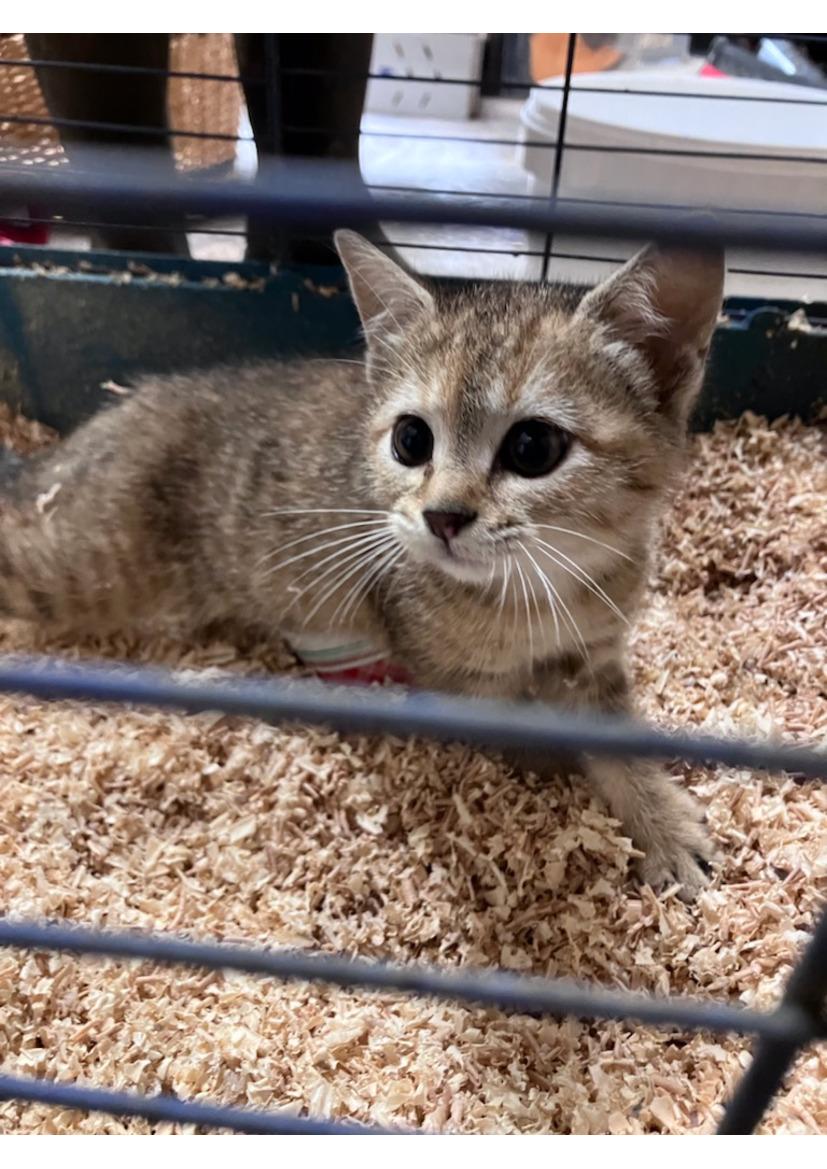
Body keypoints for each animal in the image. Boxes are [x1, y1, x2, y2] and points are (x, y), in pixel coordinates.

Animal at [0, 232, 725, 897]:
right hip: (80, 565)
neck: (539, 590)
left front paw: (662, 820)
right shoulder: (455, 678)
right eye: (410, 439)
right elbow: (525, 733)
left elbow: (618, 736)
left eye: (532, 446)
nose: (442, 516)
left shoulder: (596, 654)